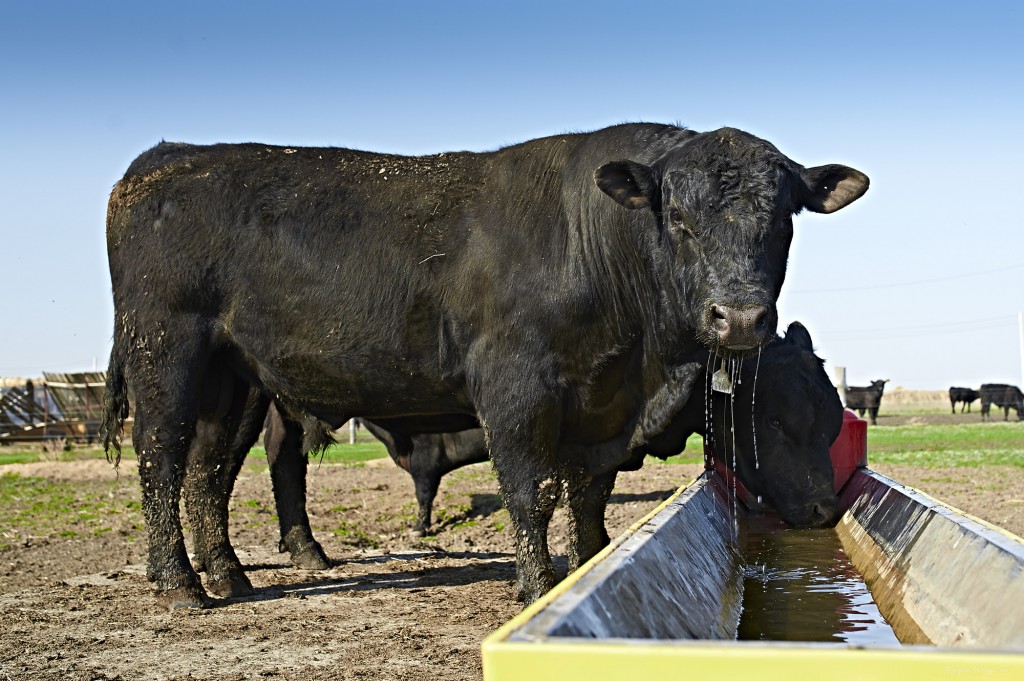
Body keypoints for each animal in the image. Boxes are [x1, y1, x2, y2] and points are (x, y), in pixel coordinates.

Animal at [101, 120, 864, 606]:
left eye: (784, 218)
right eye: (677, 217)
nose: (740, 318)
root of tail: (165, 158)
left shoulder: (600, 407)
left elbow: (589, 496)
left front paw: (589, 565)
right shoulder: (516, 388)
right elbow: (534, 492)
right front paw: (535, 586)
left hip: (235, 378)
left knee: (211, 469)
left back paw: (229, 575)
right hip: (166, 353)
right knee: (161, 457)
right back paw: (180, 584)